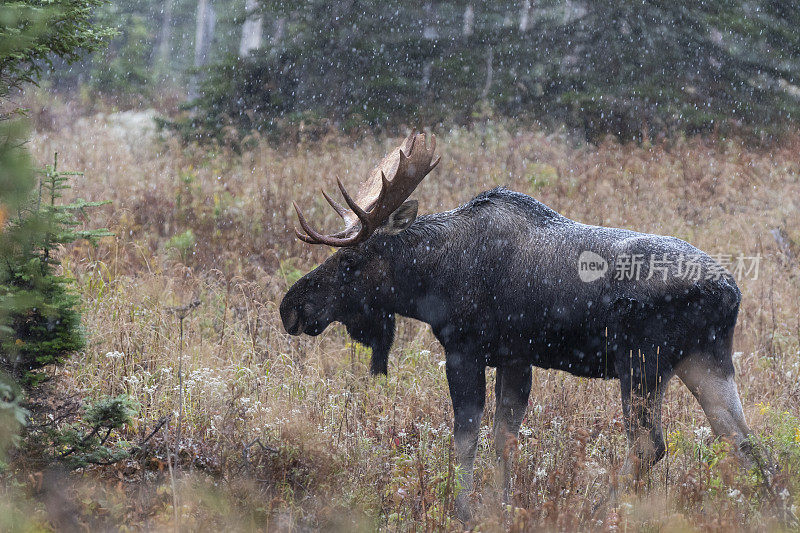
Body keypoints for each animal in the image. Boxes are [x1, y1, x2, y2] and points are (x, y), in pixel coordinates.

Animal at [280, 132, 752, 520]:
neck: (432, 281)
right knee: (738, 438)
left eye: (351, 261)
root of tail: (729, 291)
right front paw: (502, 507)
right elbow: (504, 438)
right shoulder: (515, 358)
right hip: (705, 359)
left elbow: (466, 436)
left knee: (649, 443)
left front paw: (464, 510)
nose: (291, 307)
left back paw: (596, 509)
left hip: (641, 362)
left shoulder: (465, 350)